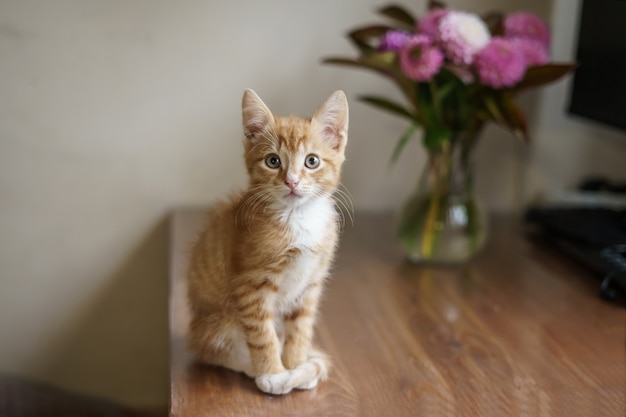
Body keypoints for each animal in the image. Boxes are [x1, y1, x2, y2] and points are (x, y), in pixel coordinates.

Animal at [188, 88, 348, 394]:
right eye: (273, 161)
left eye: (312, 161)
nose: (292, 181)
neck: (298, 218)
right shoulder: (251, 284)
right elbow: (262, 334)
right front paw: (273, 373)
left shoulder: (311, 283)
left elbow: (301, 328)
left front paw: (296, 364)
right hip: (218, 322)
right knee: (213, 350)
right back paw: (253, 368)